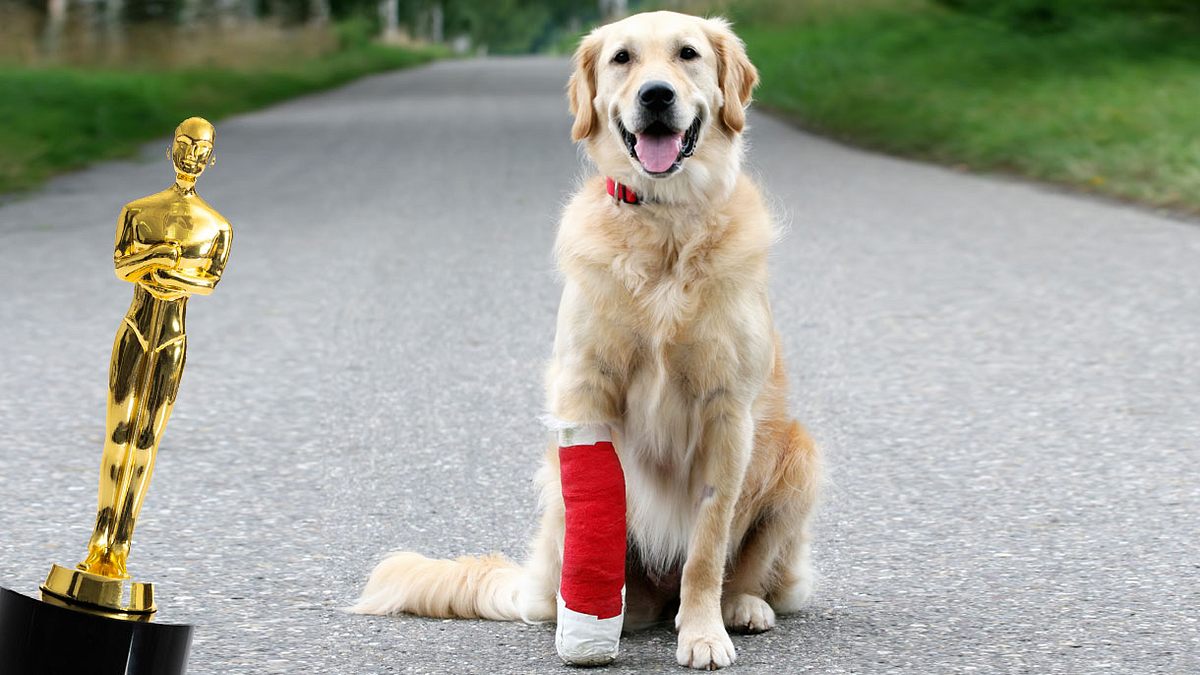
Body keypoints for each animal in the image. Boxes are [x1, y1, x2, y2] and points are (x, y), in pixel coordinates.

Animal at [350, 10, 820, 667]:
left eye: (688, 54)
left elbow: (706, 547)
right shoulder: (584, 391)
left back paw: (741, 607)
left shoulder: (728, 412)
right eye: (623, 58)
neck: (665, 225)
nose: (656, 96)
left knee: (746, 571)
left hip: (801, 456)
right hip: (557, 494)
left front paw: (703, 633)